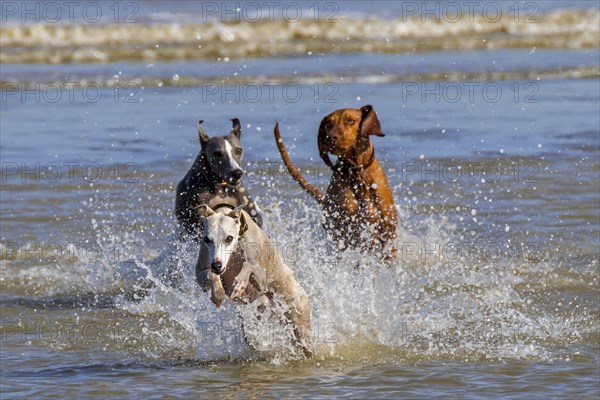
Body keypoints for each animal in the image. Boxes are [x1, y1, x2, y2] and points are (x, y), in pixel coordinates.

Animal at [196, 203, 312, 356]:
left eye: (229, 238)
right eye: (207, 239)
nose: (217, 265)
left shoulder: (261, 279)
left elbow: (248, 265)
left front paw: (239, 284)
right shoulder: (200, 275)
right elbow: (210, 275)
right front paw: (218, 293)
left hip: (299, 321)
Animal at [274, 104, 396, 252]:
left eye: (351, 121)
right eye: (328, 124)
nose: (330, 137)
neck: (356, 174)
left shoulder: (387, 232)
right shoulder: (350, 230)